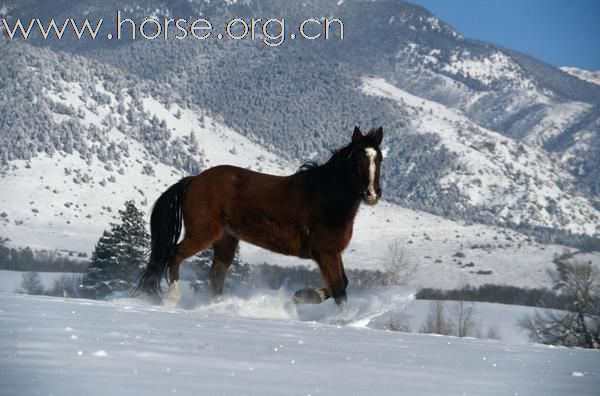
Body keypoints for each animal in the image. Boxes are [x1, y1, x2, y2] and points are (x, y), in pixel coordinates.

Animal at [134, 127, 382, 306]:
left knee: (216, 275)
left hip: (226, 239)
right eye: (358, 159)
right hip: (203, 233)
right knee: (175, 255)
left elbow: (343, 284)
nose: (372, 194)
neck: (325, 196)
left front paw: (302, 296)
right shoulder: (325, 252)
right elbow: (340, 290)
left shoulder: (332, 253)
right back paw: (172, 297)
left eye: (379, 159)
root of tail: (193, 180)